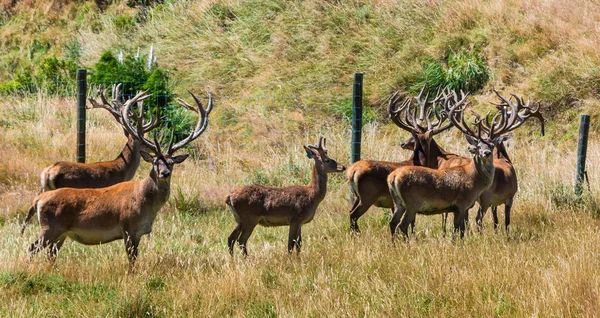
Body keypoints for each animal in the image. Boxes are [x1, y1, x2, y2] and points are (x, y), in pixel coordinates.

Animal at [20, 90, 213, 272]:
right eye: (155, 162)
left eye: (172, 163)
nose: (164, 173)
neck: (145, 204)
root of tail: (38, 200)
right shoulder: (127, 226)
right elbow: (131, 260)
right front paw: (131, 276)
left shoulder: (139, 233)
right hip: (50, 227)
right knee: (31, 247)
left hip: (60, 233)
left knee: (51, 253)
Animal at [346, 88, 464, 232]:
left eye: (412, 137)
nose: (403, 143)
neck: (418, 161)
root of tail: (352, 171)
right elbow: (411, 222)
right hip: (368, 195)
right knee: (354, 214)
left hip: (356, 196)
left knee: (350, 213)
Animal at [386, 89, 528, 238]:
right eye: (478, 146)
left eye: (491, 145)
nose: (486, 153)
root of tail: (392, 178)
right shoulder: (461, 203)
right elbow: (457, 229)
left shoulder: (460, 207)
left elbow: (460, 229)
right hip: (412, 203)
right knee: (402, 225)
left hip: (399, 204)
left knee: (393, 223)